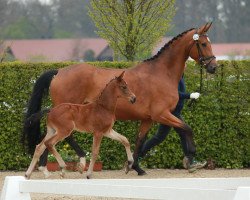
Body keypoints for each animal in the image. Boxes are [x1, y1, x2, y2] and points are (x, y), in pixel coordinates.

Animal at [23, 21, 217, 175]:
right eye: (202, 43)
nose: (213, 67)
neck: (161, 73)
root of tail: (59, 72)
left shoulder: (148, 119)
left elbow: (140, 140)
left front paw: (134, 167)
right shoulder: (162, 114)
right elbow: (186, 128)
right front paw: (190, 158)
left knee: (47, 138)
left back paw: (44, 168)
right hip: (67, 112)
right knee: (61, 137)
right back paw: (77, 162)